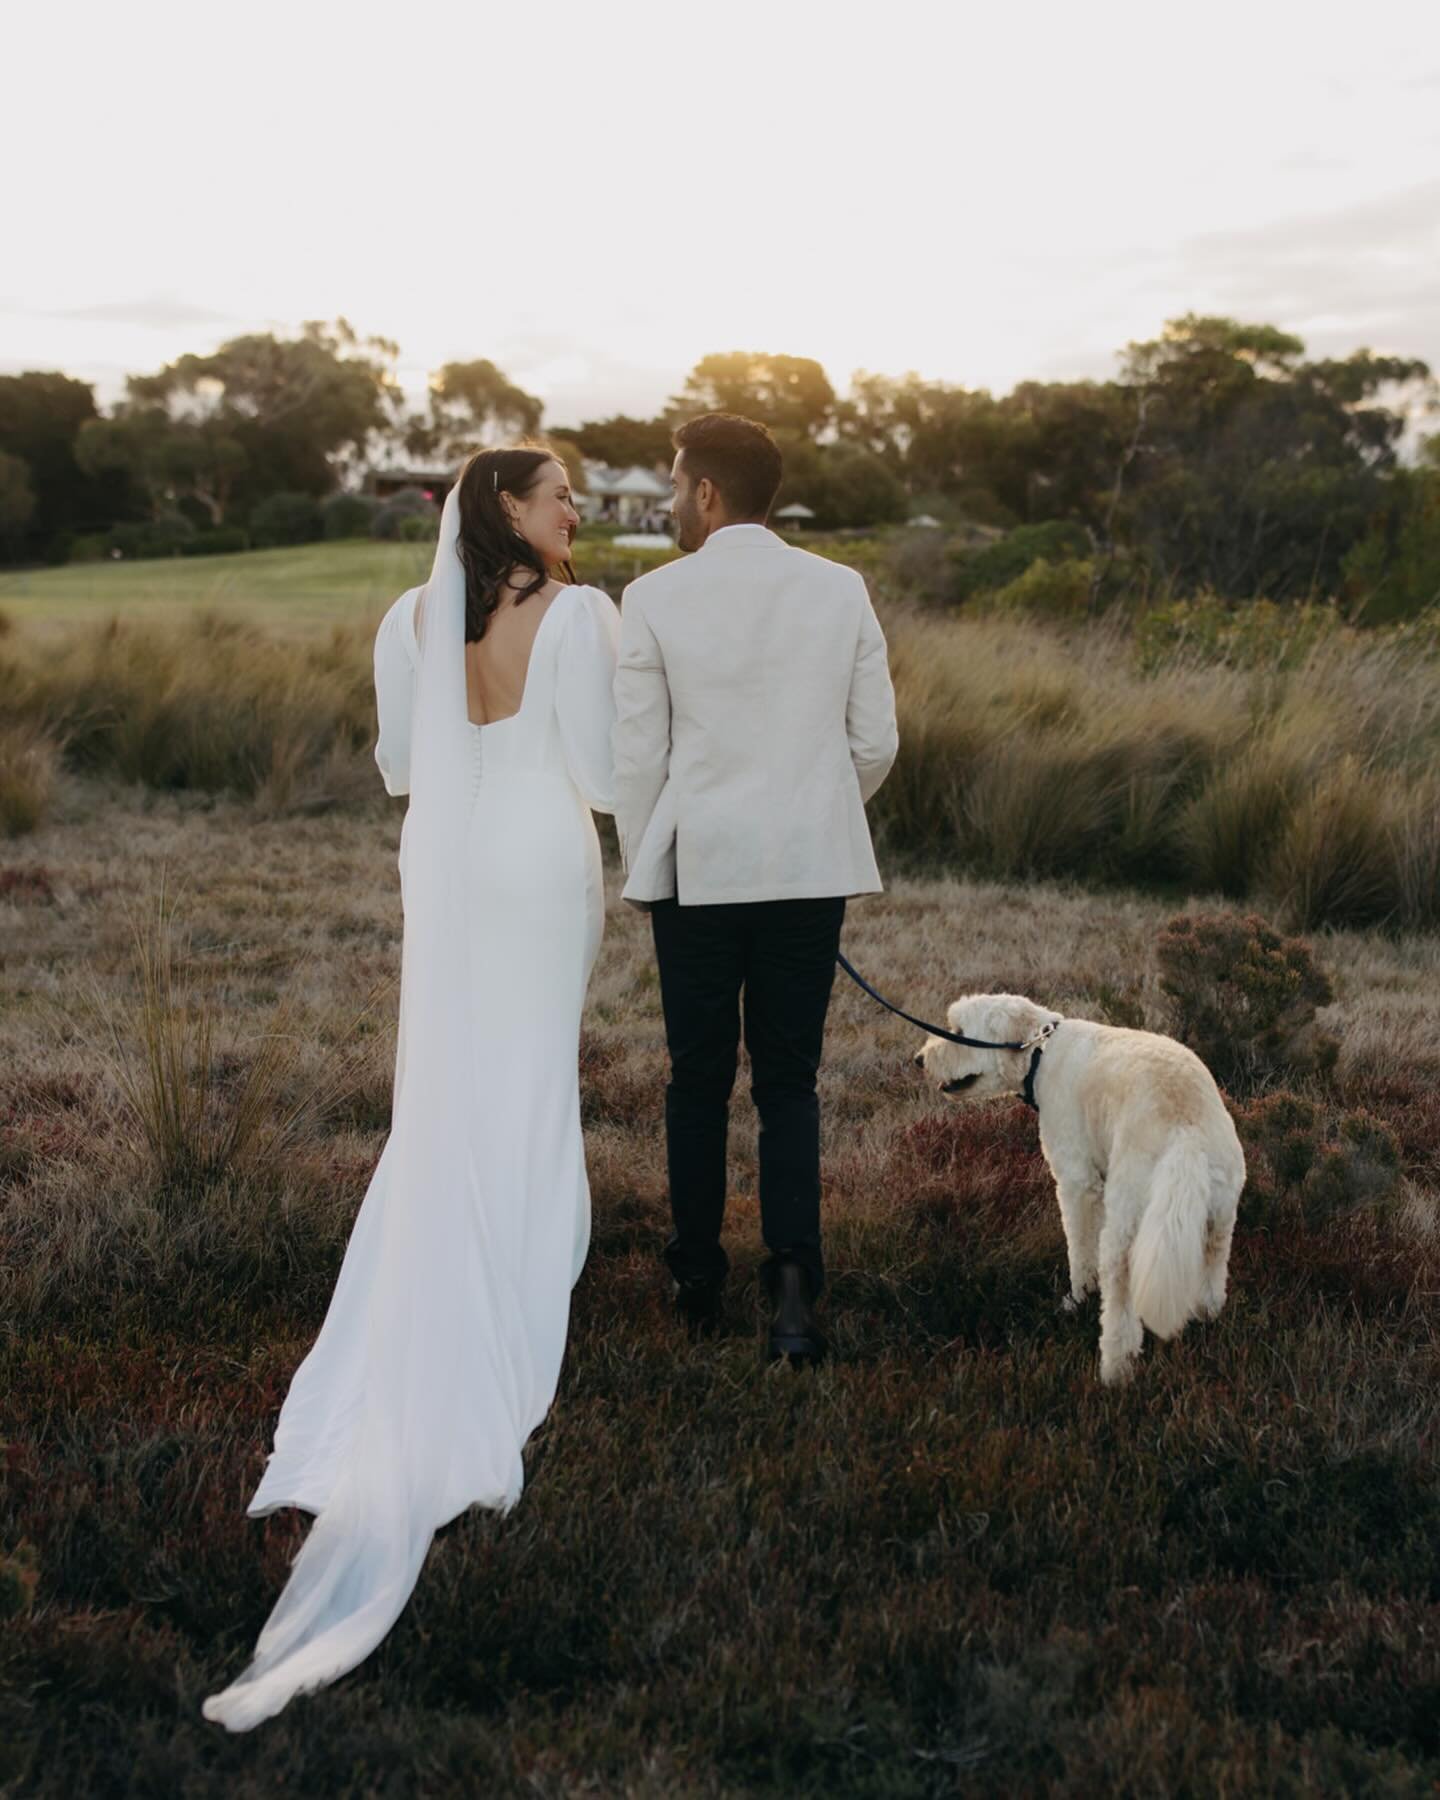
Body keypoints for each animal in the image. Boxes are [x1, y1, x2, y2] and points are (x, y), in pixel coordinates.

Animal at [918, 993, 1245, 1382]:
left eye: (959, 1031)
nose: (919, 1059)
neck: (1040, 1051)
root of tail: (1186, 1132)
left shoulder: (1077, 1184)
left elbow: (1080, 1249)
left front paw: (1079, 1298)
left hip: (1127, 1220)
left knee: (1120, 1300)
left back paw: (1115, 1370)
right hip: (1219, 1213)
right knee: (1213, 1271)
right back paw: (1207, 1318)